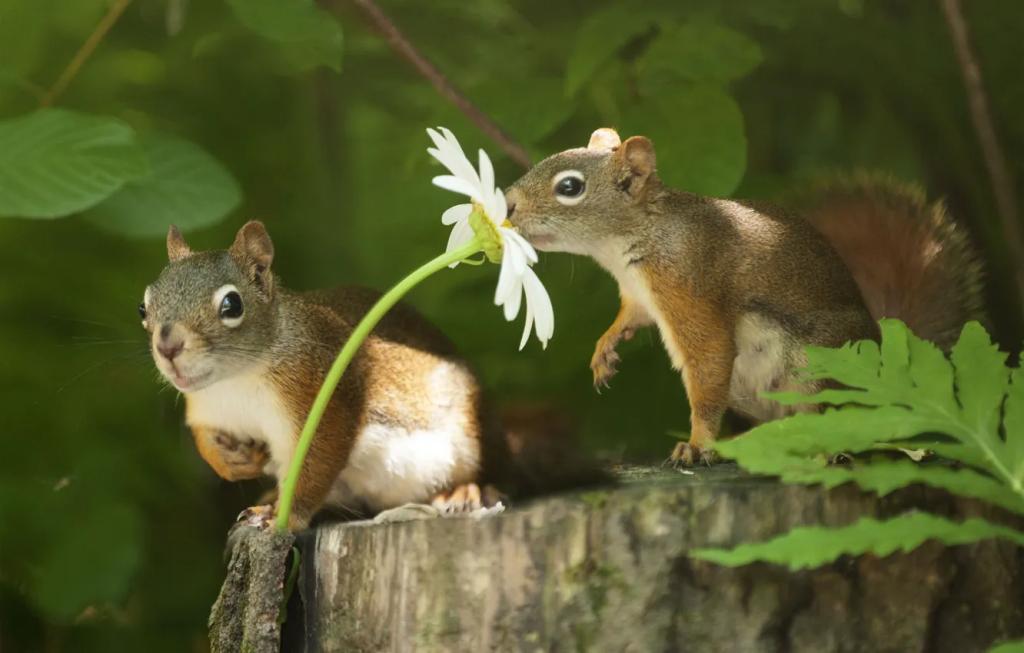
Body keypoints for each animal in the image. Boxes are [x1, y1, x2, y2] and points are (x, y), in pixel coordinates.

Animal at [143, 221, 593, 532]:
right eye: (143, 306)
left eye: (232, 305)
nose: (168, 346)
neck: (234, 381)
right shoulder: (206, 408)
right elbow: (206, 439)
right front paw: (233, 462)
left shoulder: (321, 395)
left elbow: (318, 460)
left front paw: (284, 516)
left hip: (472, 436)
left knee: (495, 474)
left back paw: (468, 490)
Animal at [503, 127, 983, 466]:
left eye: (570, 187)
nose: (506, 203)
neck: (638, 237)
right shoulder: (638, 295)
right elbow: (630, 316)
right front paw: (606, 347)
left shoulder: (692, 285)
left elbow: (709, 362)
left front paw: (696, 445)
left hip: (820, 367)